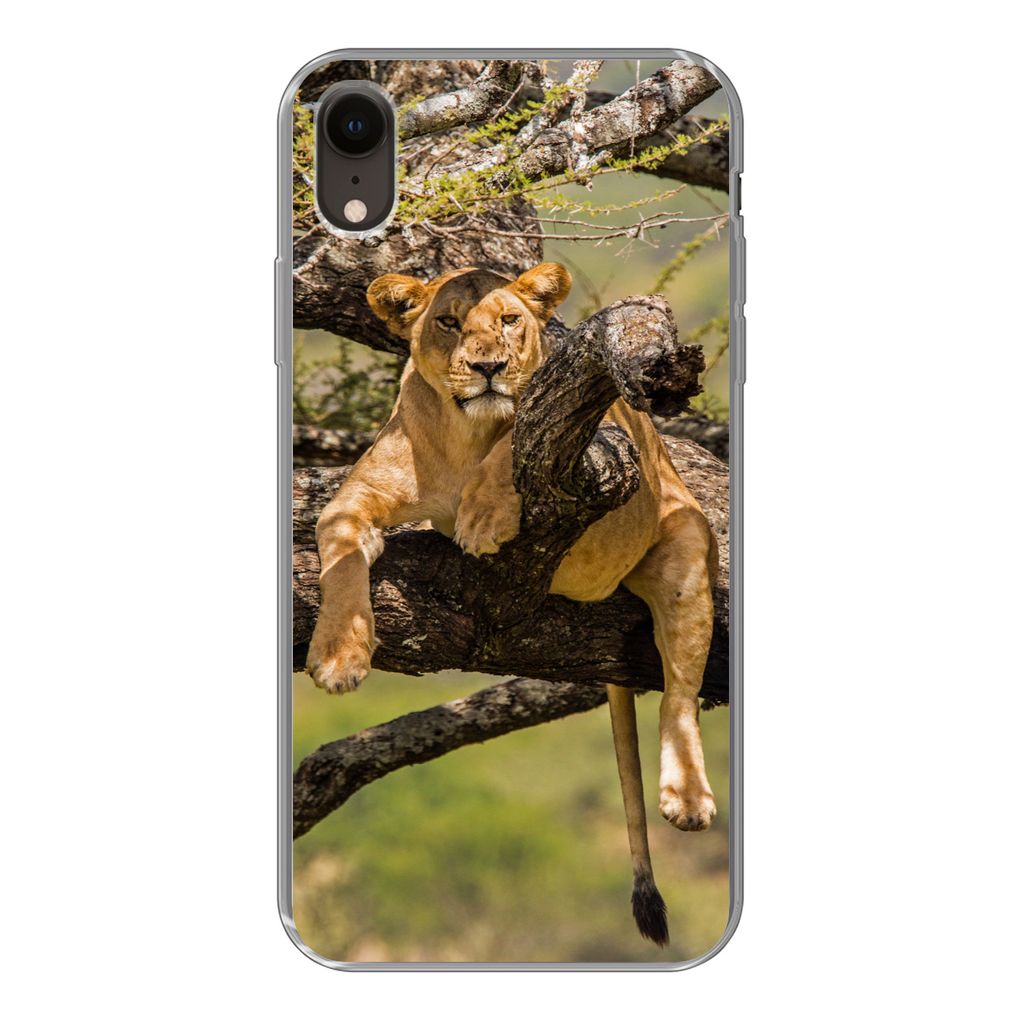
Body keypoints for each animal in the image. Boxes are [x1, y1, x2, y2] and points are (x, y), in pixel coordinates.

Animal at [306, 262, 718, 946]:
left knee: (680, 695)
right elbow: (338, 561)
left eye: (508, 320)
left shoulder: (592, 437)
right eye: (448, 322)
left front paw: (484, 516)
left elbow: (514, 446)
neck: (464, 433)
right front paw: (339, 657)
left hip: (684, 545)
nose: (489, 367)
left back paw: (686, 797)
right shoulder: (352, 502)